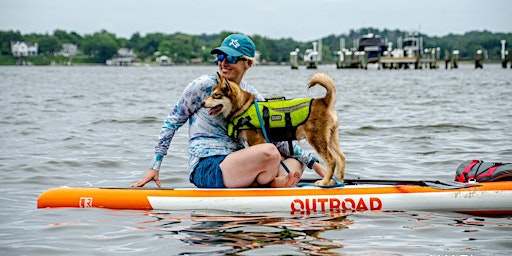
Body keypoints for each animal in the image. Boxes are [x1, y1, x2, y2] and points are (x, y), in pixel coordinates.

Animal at [202, 72, 346, 186]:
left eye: (216, 95)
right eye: (211, 94)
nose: (202, 103)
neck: (243, 107)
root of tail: (324, 101)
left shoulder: (256, 141)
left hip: (316, 139)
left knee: (332, 160)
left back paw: (325, 182)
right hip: (330, 138)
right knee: (341, 157)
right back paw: (336, 181)